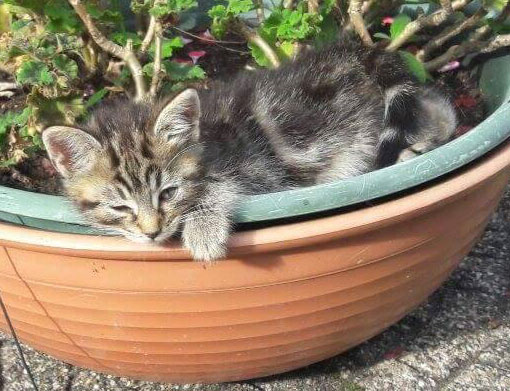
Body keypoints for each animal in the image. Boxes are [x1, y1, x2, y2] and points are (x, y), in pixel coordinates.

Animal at [42, 39, 458, 262]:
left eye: (169, 193)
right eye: (120, 207)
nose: (152, 233)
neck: (207, 141)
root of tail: (353, 53)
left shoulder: (259, 169)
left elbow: (220, 187)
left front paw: (204, 230)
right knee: (437, 107)